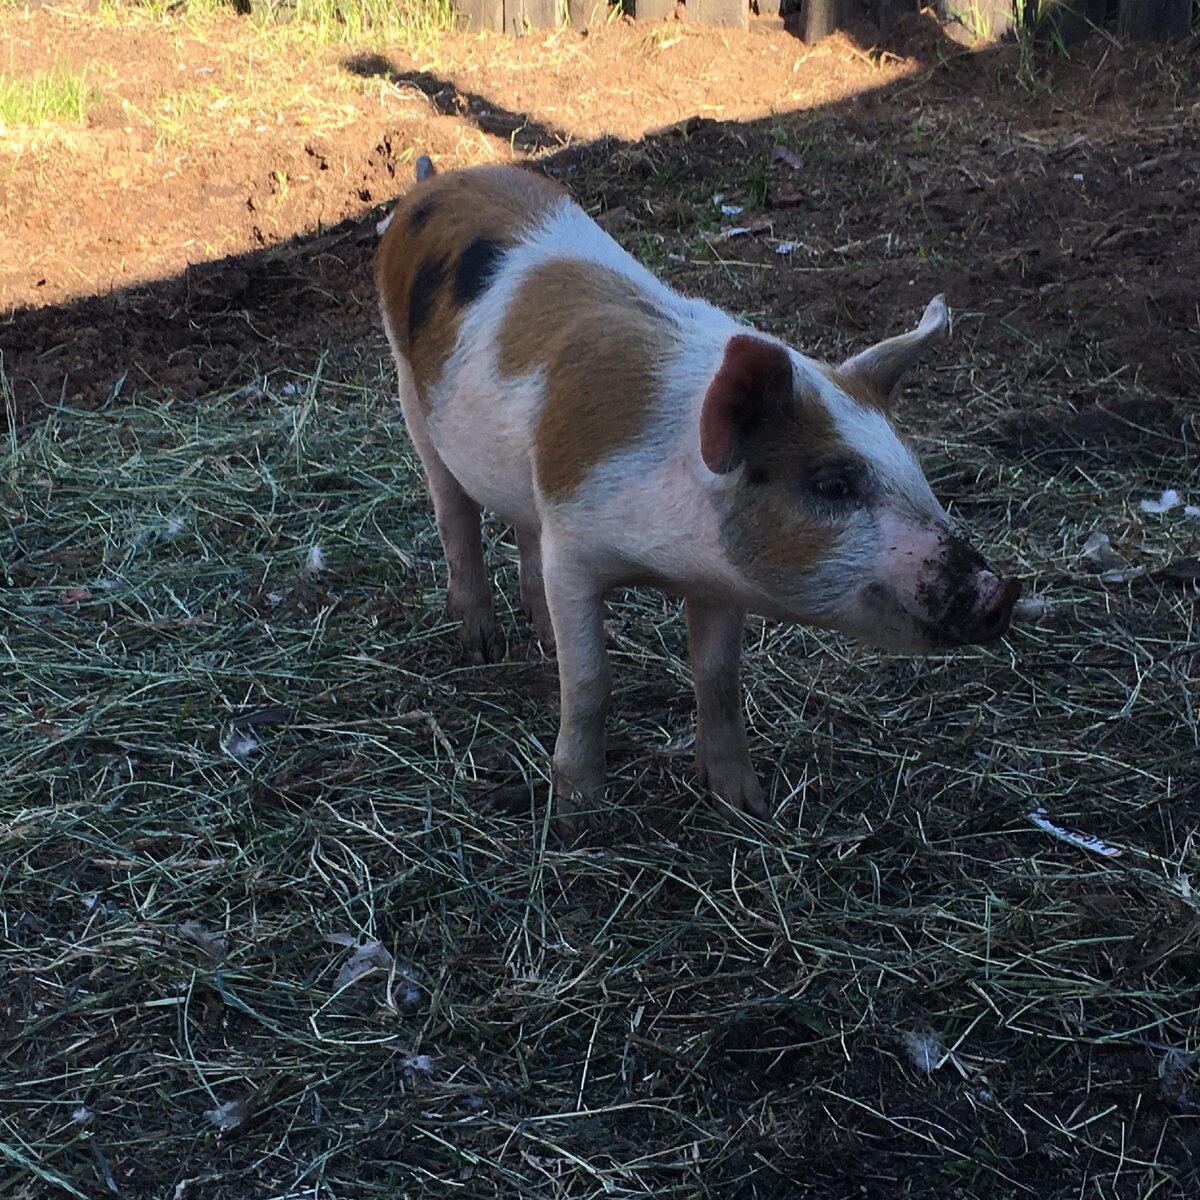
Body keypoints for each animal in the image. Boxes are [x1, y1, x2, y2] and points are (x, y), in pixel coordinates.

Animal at [369, 157, 1017, 825]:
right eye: (833, 484)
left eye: (916, 468)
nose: (1001, 592)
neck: (668, 551)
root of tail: (433, 181)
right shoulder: (573, 548)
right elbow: (590, 681)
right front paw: (577, 814)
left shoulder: (719, 580)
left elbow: (718, 676)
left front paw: (747, 805)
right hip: (408, 388)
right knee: (454, 513)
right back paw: (481, 648)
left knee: (520, 528)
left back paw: (540, 635)